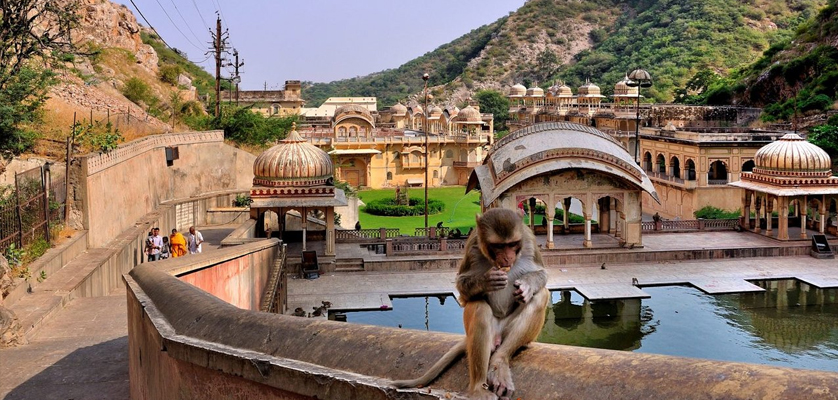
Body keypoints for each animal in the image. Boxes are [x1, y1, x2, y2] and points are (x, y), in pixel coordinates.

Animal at [394, 208, 552, 398]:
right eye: (499, 246)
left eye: (512, 244)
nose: (508, 257)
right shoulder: (472, 245)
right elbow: (463, 287)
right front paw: (486, 281)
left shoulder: (529, 240)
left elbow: (542, 273)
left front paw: (526, 285)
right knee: (478, 307)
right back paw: (478, 387)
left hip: (513, 332)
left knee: (540, 296)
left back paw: (499, 361)